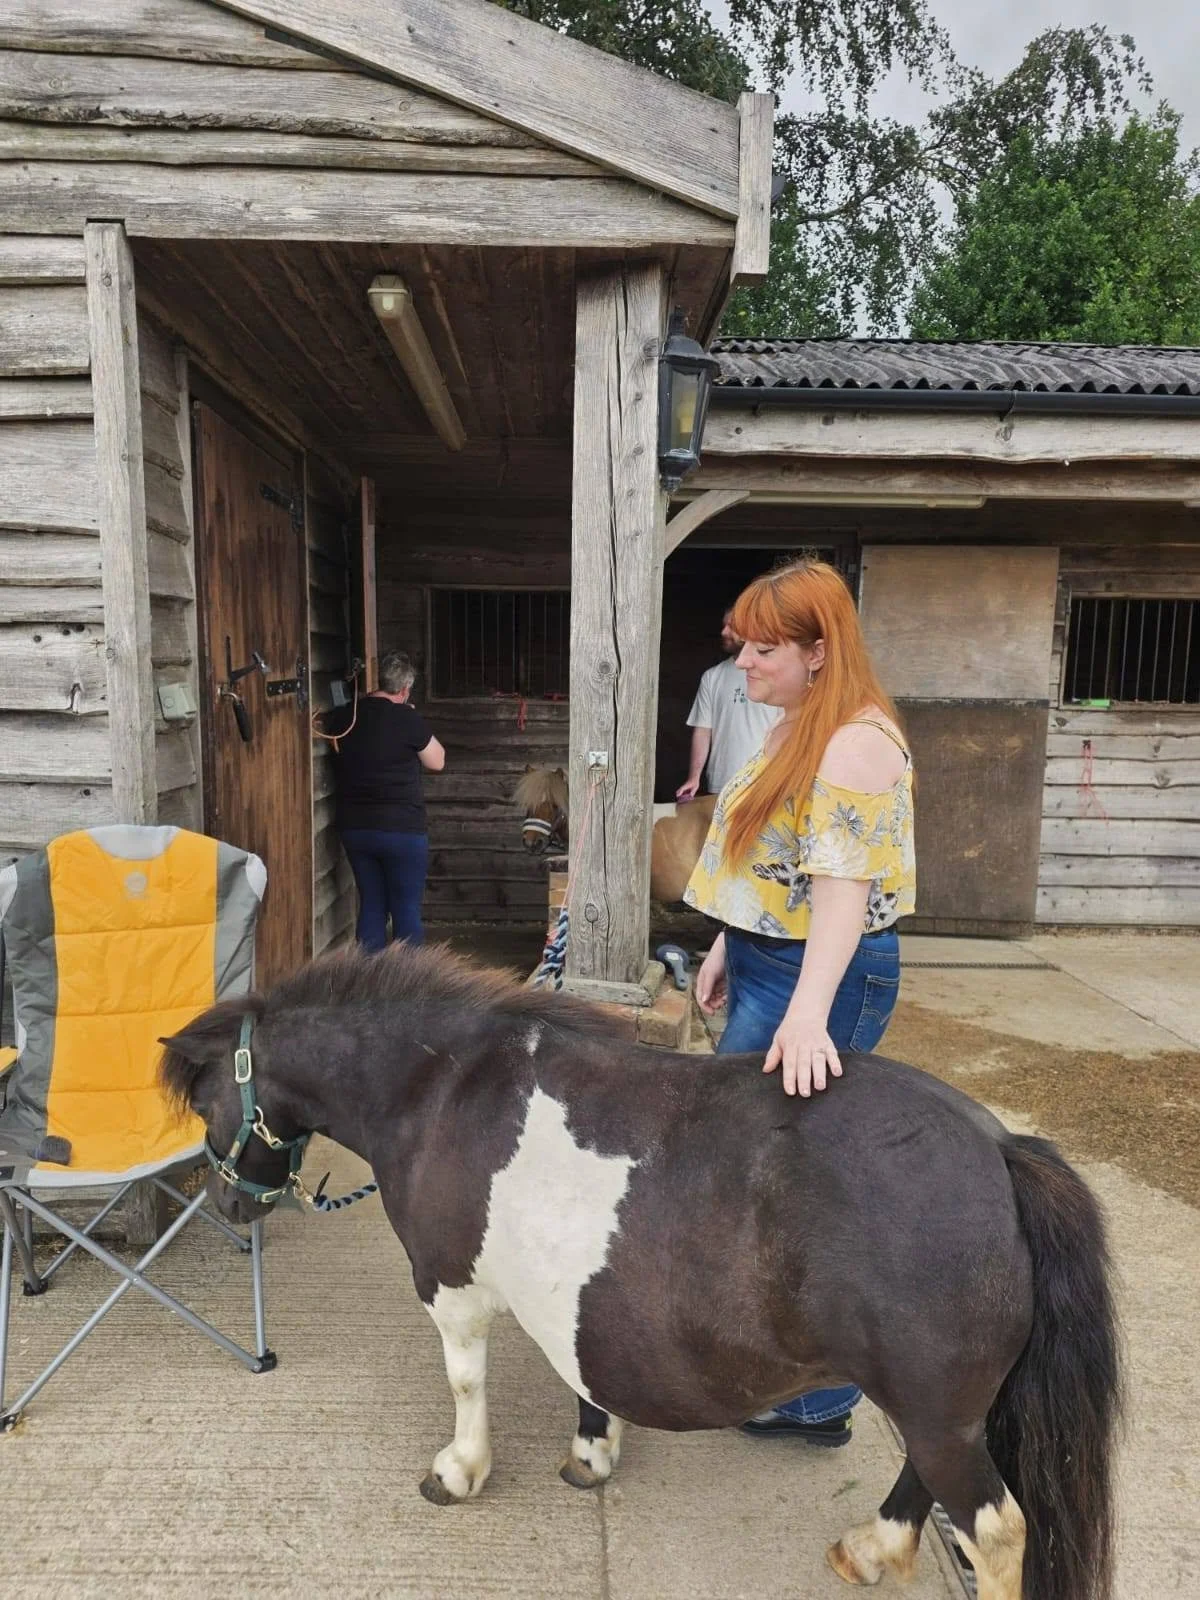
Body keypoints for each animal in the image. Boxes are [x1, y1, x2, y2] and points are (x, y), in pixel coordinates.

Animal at [160, 944, 1121, 1600]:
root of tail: (1000, 1150)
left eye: (205, 1101)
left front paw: (460, 1470)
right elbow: (584, 1377)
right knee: (925, 1477)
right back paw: (870, 1548)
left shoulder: (451, 1286)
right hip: (938, 1410)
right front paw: (592, 1451)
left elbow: (466, 1381)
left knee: (996, 1529)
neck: (441, 1090)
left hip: (936, 1410)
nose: (229, 1206)